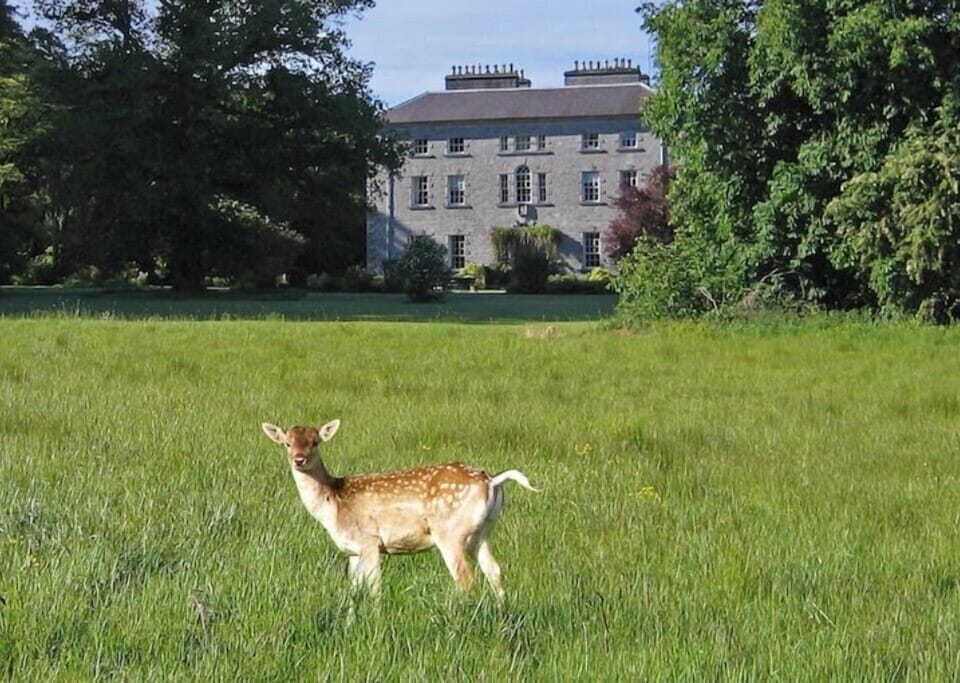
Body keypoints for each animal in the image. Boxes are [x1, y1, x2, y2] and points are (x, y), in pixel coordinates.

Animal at [261, 419, 538, 599]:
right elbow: (354, 590)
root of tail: (491, 481)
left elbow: (374, 588)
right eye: (287, 443)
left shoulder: (369, 540)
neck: (333, 503)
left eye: (316, 442)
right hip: (482, 532)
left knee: (465, 578)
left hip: (450, 532)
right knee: (494, 570)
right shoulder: (352, 550)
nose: (299, 460)